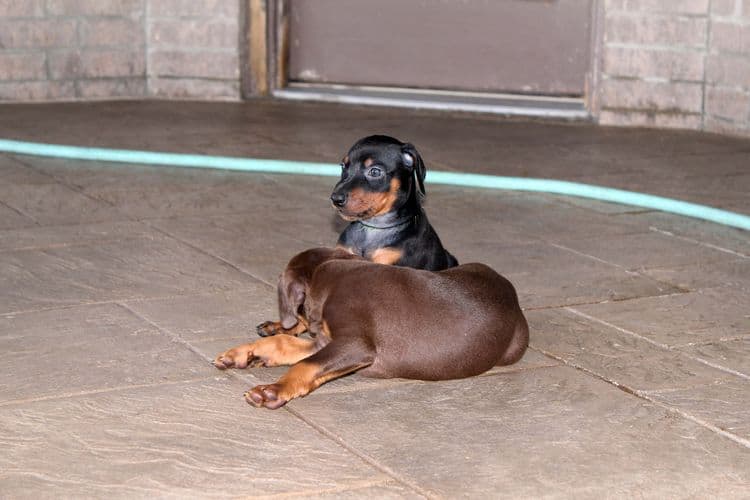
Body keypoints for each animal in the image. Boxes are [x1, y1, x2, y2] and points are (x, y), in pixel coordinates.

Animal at [213, 247, 528, 410]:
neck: (329, 271)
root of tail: (512, 295)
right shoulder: (324, 340)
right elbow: (283, 345)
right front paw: (244, 354)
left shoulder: (355, 345)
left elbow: (305, 365)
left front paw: (272, 391)